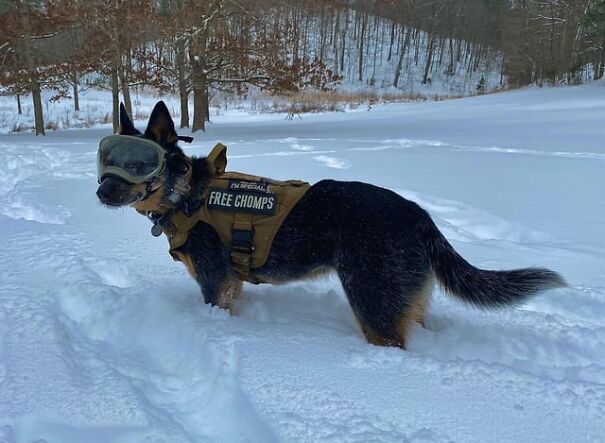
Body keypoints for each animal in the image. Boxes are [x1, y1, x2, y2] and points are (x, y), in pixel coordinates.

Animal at [98, 102, 568, 348]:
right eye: (108, 159)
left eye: (139, 164)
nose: (101, 192)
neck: (187, 193)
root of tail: (419, 215)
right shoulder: (232, 284)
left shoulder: (215, 284)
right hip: (404, 301)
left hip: (372, 303)